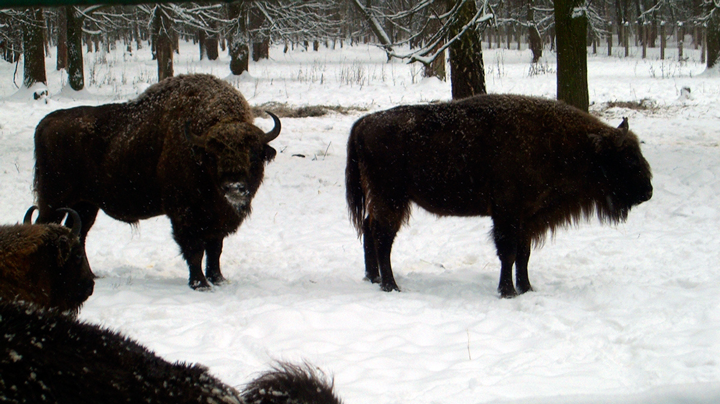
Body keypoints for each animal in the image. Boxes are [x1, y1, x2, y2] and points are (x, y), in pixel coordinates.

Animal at [33, 74, 281, 290]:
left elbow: (215, 249)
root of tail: (46, 122)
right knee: (44, 226)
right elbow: (195, 250)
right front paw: (200, 284)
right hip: (54, 200)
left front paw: (219, 280)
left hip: (86, 205)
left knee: (78, 233)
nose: (234, 187)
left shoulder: (218, 219)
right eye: (212, 155)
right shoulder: (185, 215)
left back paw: (91, 275)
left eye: (255, 154)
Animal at [346, 94, 653, 298]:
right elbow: (508, 252)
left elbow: (524, 254)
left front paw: (527, 288)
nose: (648, 191)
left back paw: (373, 278)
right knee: (382, 236)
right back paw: (391, 286)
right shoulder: (507, 213)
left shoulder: (528, 218)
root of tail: (364, 122)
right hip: (391, 199)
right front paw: (508, 292)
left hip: (385, 200)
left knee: (369, 229)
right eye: (626, 159)